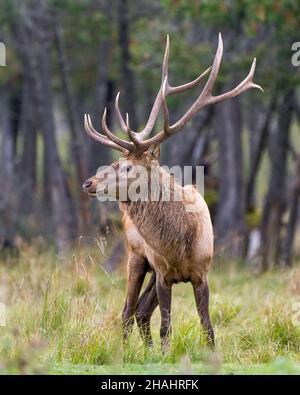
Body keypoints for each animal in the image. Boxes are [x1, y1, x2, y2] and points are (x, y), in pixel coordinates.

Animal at [82, 34, 262, 350]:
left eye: (126, 167)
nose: (88, 183)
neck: (182, 242)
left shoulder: (202, 273)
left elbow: (208, 327)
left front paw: (209, 353)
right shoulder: (164, 274)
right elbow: (166, 327)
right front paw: (165, 354)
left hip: (150, 269)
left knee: (139, 311)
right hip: (137, 257)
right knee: (128, 311)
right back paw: (127, 350)